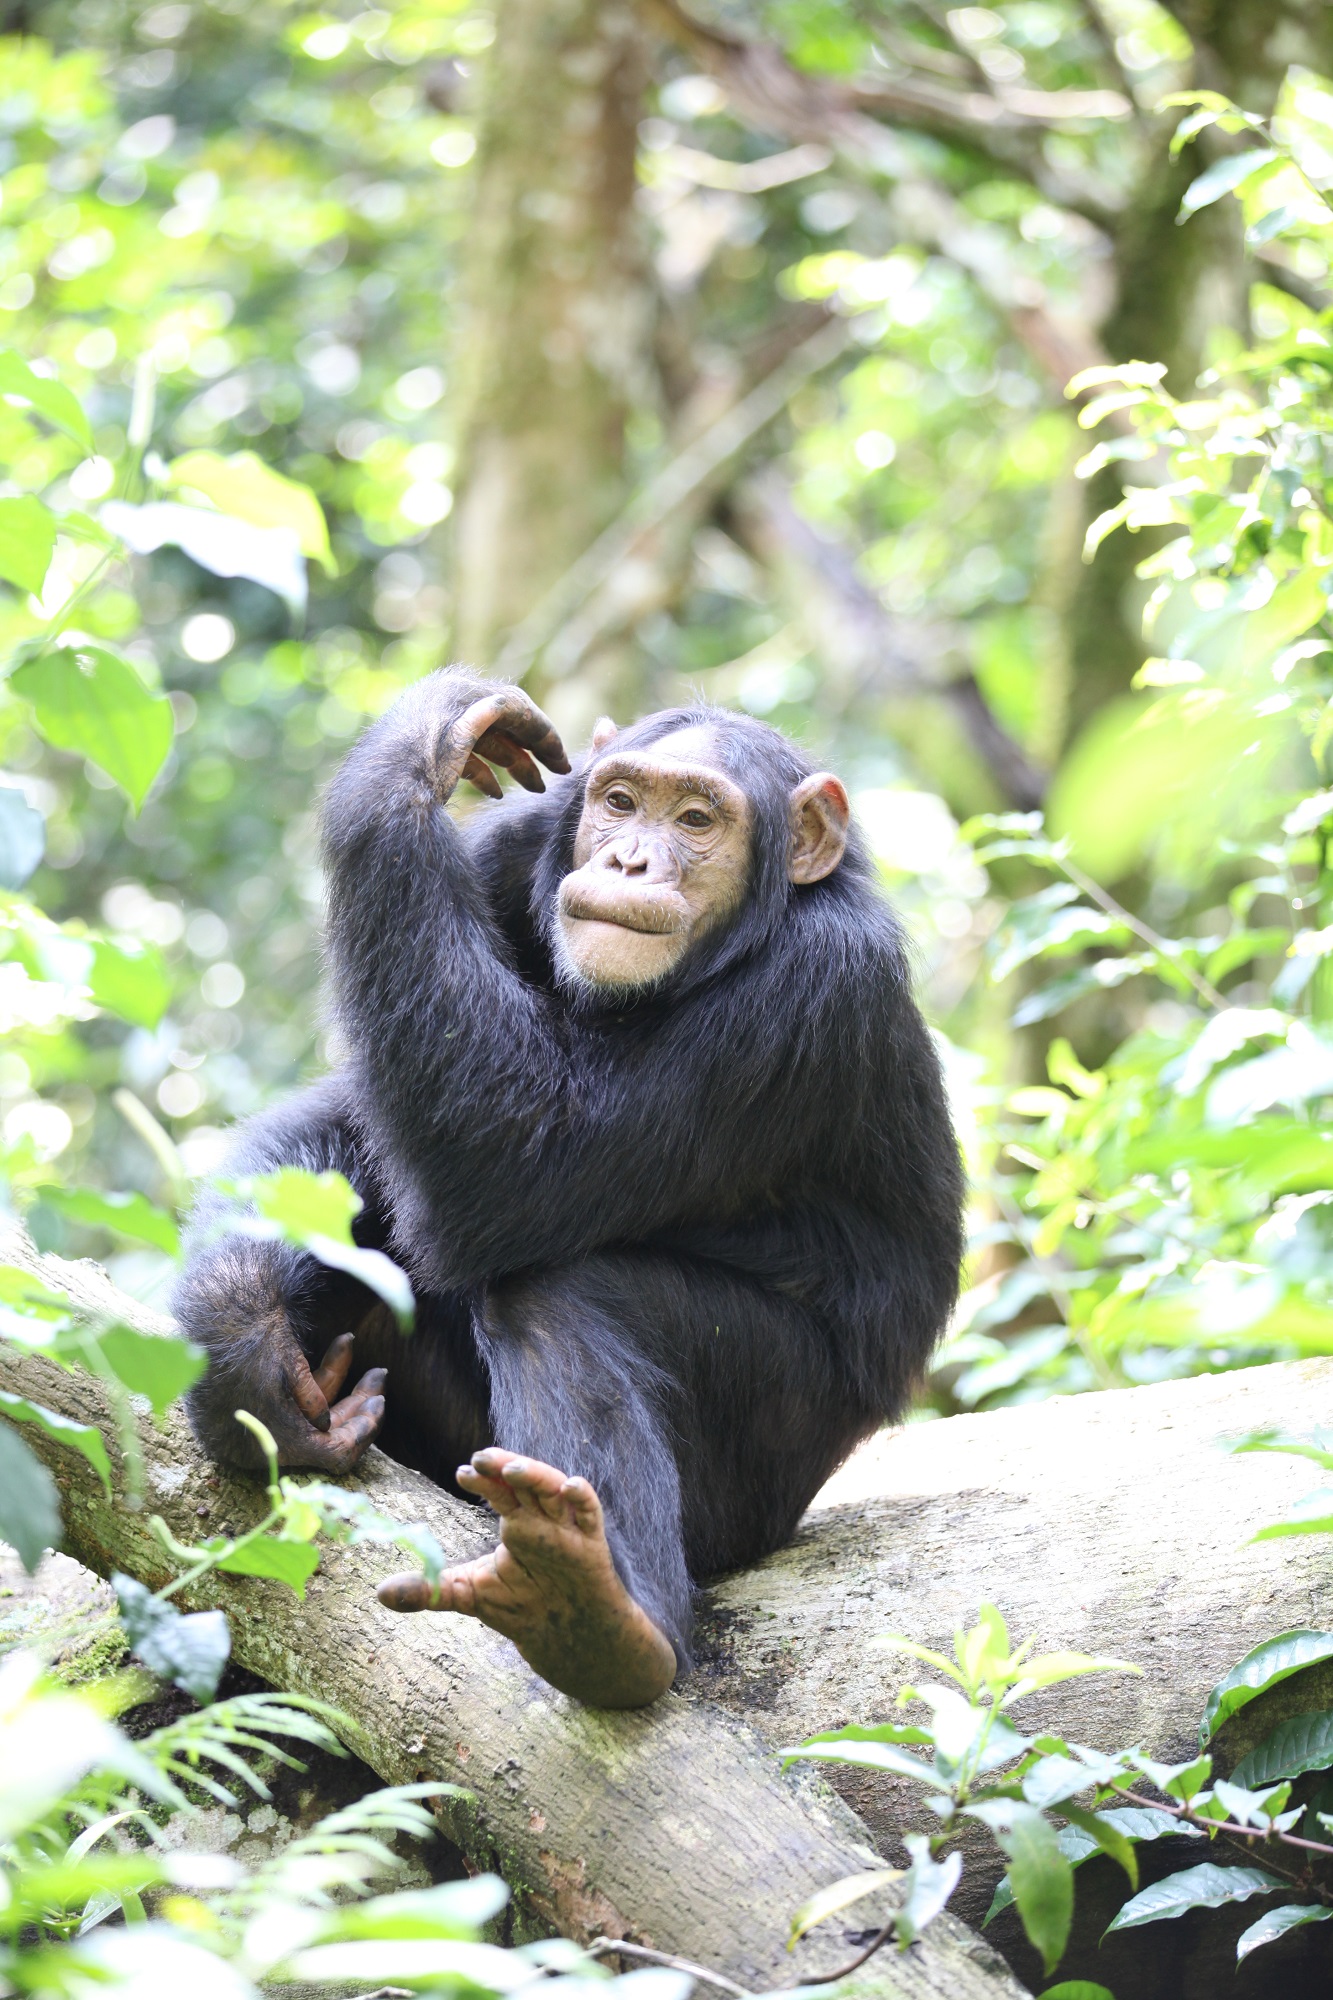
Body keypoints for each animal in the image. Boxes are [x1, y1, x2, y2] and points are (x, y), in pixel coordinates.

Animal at [179, 672, 964, 1704]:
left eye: (697, 818)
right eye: (619, 802)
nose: (629, 859)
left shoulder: (813, 988)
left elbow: (508, 1163)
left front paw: (415, 745)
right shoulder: (506, 855)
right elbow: (356, 1115)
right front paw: (243, 1353)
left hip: (760, 1481)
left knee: (557, 1291)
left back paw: (591, 1610)